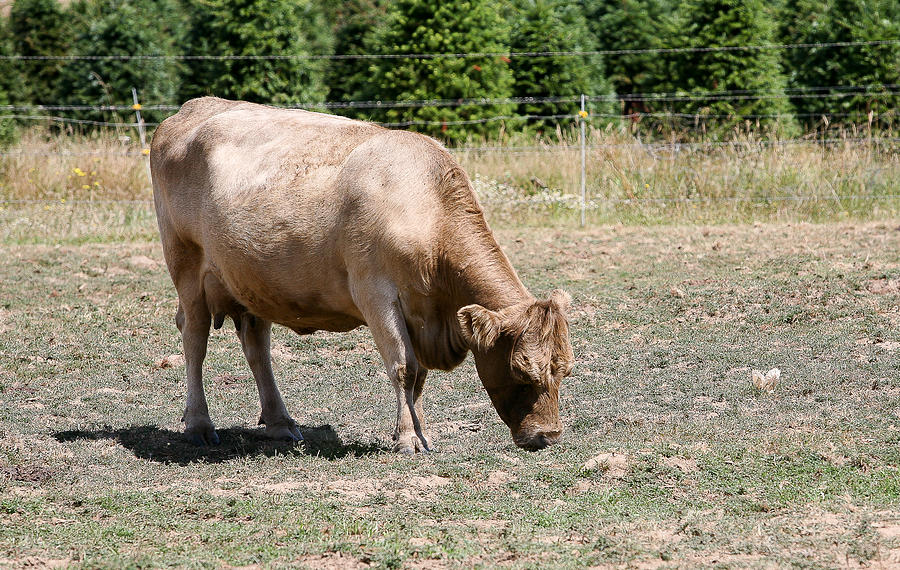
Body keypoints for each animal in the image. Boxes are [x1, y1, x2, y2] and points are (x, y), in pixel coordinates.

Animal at [147, 97, 568, 452]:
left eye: (563, 369)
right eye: (521, 371)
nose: (547, 436)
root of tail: (189, 109)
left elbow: (418, 378)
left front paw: (420, 433)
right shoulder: (376, 294)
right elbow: (404, 368)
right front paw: (408, 439)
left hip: (250, 278)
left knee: (256, 346)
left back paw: (280, 423)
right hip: (185, 264)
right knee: (194, 338)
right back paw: (199, 425)